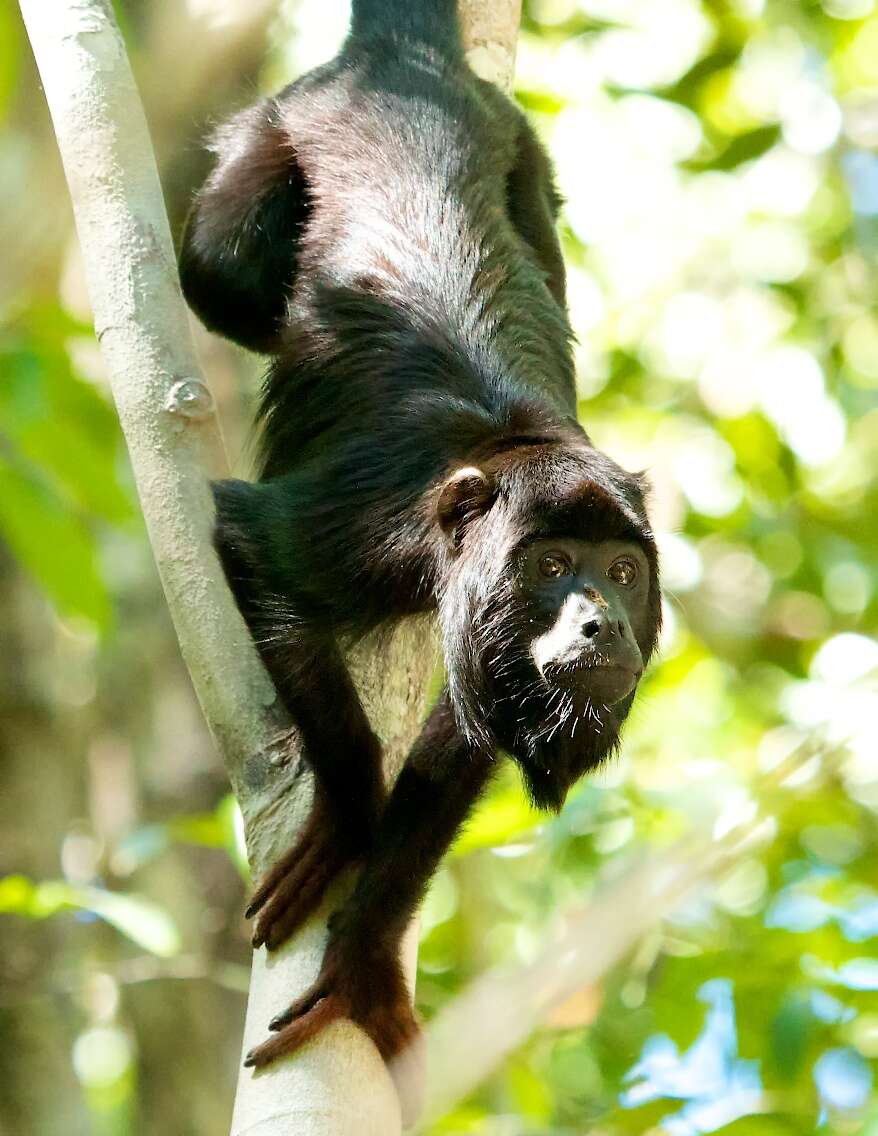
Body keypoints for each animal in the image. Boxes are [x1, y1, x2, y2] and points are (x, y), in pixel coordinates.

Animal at [178, 0, 658, 1099]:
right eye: (548, 567)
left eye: (621, 573)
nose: (600, 623)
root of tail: (401, 63)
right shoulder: (371, 527)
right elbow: (246, 533)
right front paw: (349, 812)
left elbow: (459, 747)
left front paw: (363, 958)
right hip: (275, 133)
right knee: (219, 276)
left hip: (524, 154)